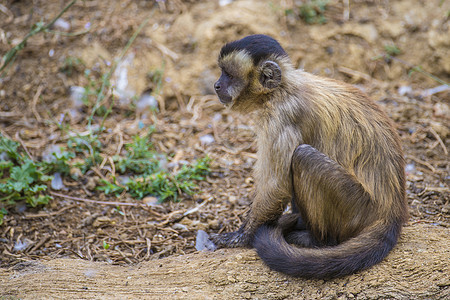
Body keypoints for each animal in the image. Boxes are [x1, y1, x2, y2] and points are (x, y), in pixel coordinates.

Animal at [211, 34, 408, 278]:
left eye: (228, 75)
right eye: (222, 72)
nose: (216, 84)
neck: (282, 89)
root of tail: (393, 212)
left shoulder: (282, 115)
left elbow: (276, 186)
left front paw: (241, 237)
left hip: (358, 211)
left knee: (303, 156)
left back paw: (316, 241)